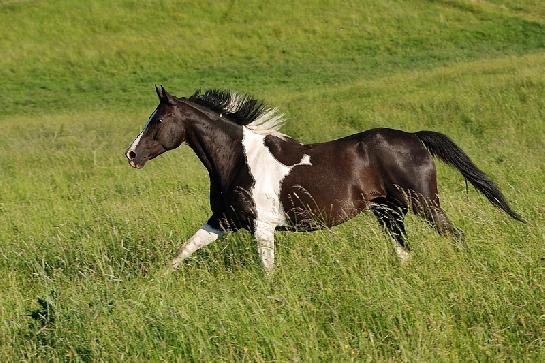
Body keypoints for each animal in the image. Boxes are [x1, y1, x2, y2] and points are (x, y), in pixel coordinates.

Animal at [124, 86, 524, 272]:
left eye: (159, 120)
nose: (131, 155)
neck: (238, 160)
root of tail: (414, 137)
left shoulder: (262, 226)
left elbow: (267, 269)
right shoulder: (224, 220)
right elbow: (184, 249)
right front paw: (154, 283)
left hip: (422, 202)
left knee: (454, 235)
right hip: (388, 211)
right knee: (404, 252)